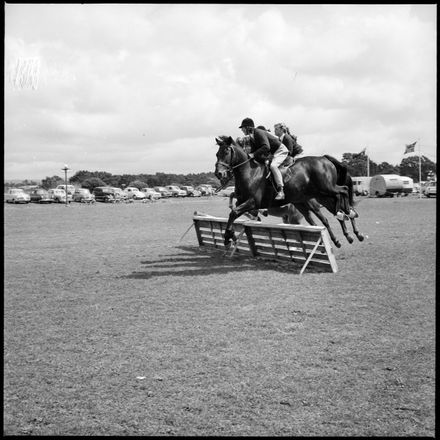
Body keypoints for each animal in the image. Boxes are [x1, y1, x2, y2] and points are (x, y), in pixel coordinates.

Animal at [217, 135, 364, 248]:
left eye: (226, 152)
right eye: (217, 154)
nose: (219, 173)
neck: (249, 173)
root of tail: (324, 158)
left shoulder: (253, 203)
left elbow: (234, 212)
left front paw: (228, 237)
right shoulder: (242, 202)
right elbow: (233, 210)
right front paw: (230, 236)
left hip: (326, 188)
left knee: (343, 191)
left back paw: (347, 219)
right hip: (319, 197)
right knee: (330, 212)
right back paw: (349, 233)